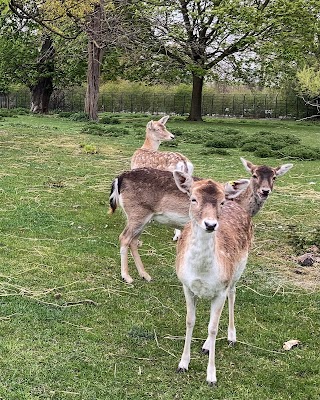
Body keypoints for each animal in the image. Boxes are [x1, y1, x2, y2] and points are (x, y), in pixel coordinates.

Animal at [109, 158, 292, 282]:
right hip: (137, 213)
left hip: (144, 217)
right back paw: (127, 276)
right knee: (124, 237)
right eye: (254, 175)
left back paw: (145, 274)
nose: (265, 191)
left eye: (274, 177)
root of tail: (120, 178)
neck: (241, 203)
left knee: (133, 240)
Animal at [172, 170, 252, 386]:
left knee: (233, 293)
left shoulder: (221, 289)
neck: (202, 272)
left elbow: (213, 328)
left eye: (221, 202)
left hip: (238, 269)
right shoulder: (187, 286)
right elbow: (190, 321)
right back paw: (207, 346)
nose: (210, 224)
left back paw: (231, 336)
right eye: (193, 198)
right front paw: (183, 364)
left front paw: (211, 376)